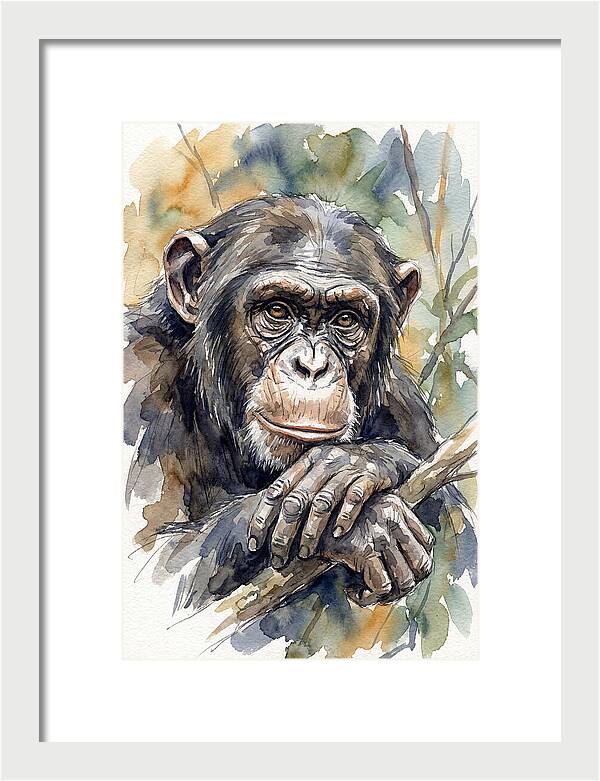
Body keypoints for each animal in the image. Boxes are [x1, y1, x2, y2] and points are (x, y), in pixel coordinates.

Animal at [124, 195, 477, 627]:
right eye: (277, 311)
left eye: (345, 319)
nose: (312, 366)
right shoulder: (138, 380)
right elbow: (154, 567)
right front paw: (371, 525)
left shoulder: (403, 403)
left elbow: (462, 539)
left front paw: (355, 464)